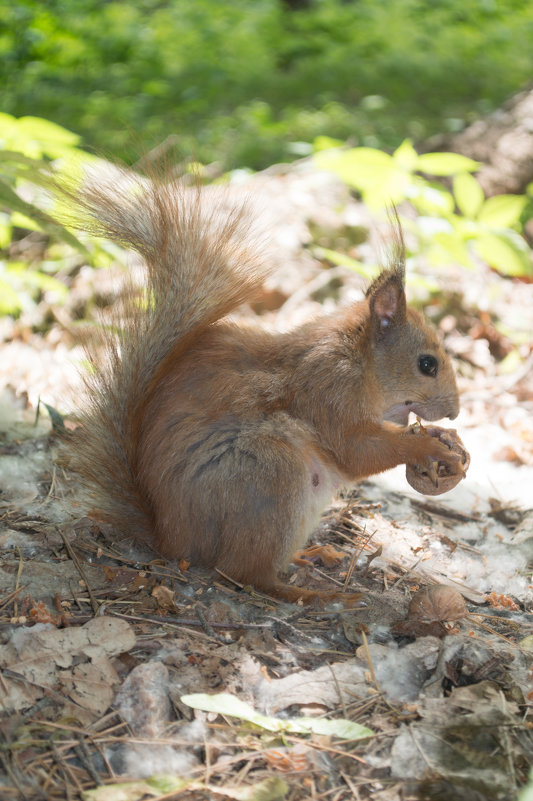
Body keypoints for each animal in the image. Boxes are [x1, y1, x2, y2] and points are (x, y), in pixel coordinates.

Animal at [66, 170, 460, 608]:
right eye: (427, 364)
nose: (454, 411)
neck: (361, 363)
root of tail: (173, 540)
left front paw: (443, 437)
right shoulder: (327, 390)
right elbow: (358, 451)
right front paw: (426, 446)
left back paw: (310, 556)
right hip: (269, 473)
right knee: (246, 574)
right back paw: (312, 594)